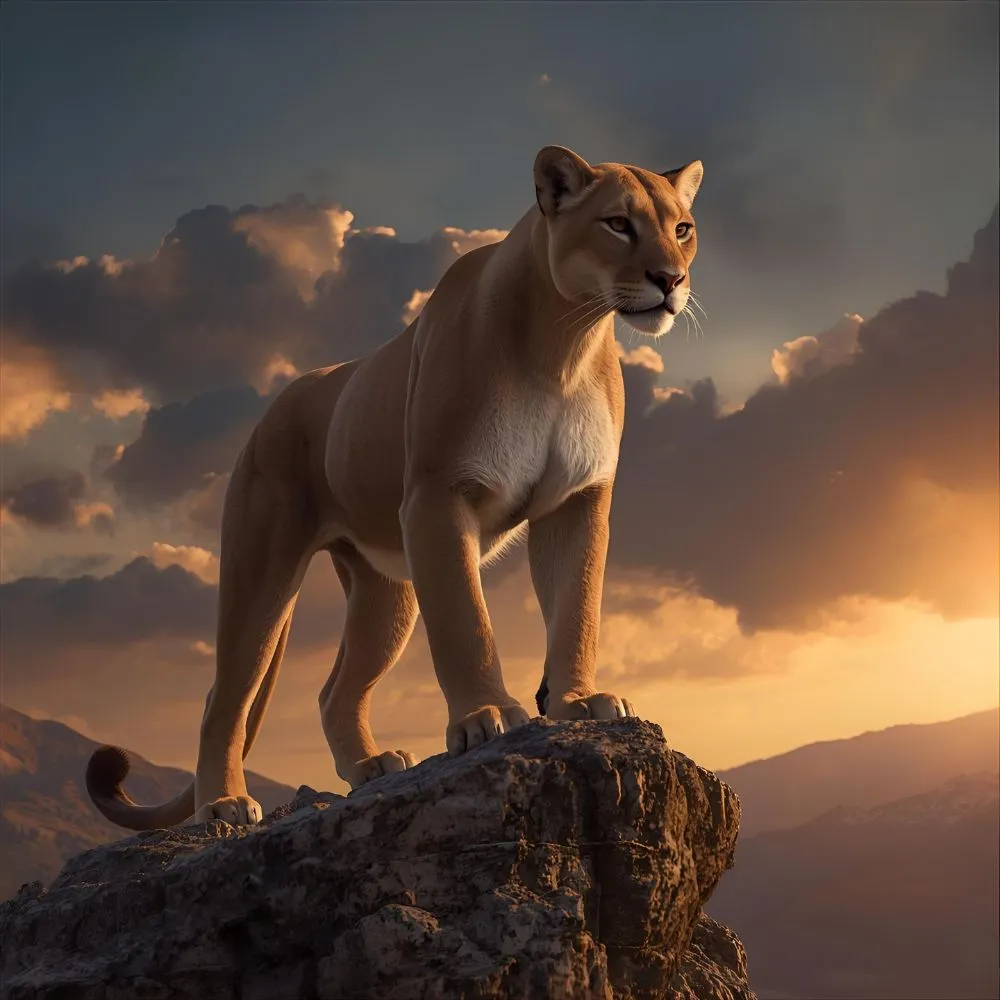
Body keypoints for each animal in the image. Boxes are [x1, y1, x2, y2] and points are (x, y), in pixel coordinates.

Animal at [86, 146, 704, 829]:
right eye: (618, 224)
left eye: (682, 228)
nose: (670, 279)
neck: (565, 340)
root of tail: (275, 408)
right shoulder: (438, 497)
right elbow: (465, 620)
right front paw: (487, 717)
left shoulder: (576, 501)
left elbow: (578, 607)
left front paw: (578, 702)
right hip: (261, 569)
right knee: (225, 696)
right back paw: (222, 804)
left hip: (386, 591)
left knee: (333, 691)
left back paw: (371, 767)